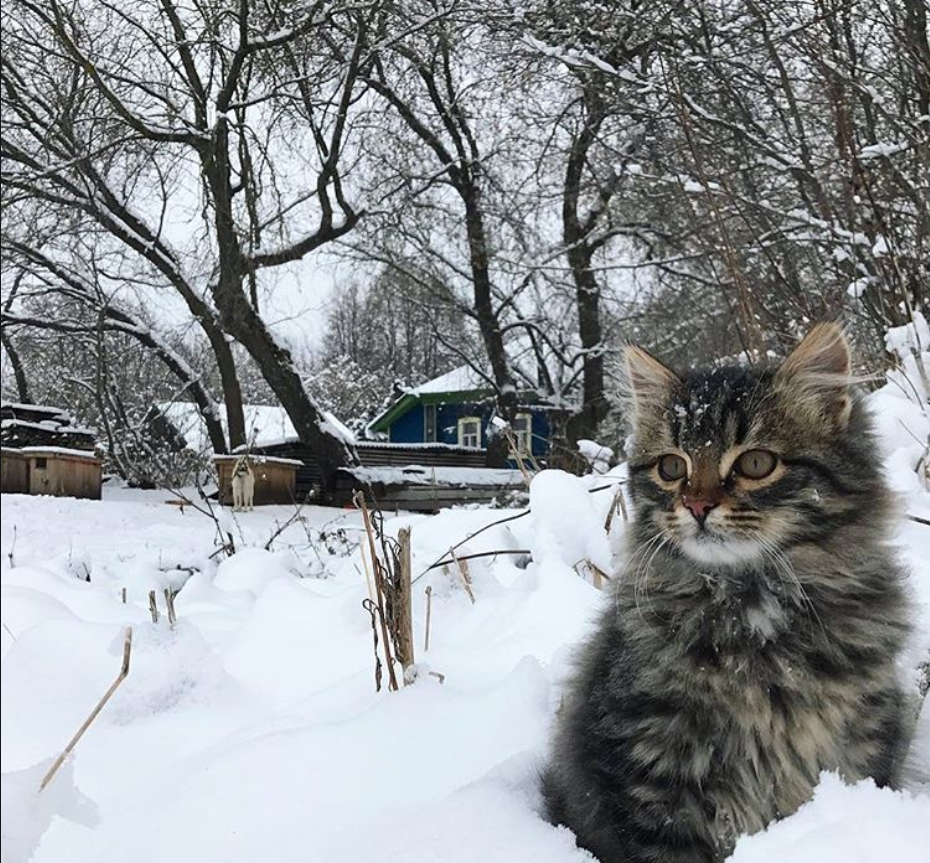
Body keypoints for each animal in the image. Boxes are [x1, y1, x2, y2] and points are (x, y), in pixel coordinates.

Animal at [540, 326, 908, 863]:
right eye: (672, 467)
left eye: (756, 463)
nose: (696, 505)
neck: (749, 610)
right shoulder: (654, 780)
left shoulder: (857, 749)